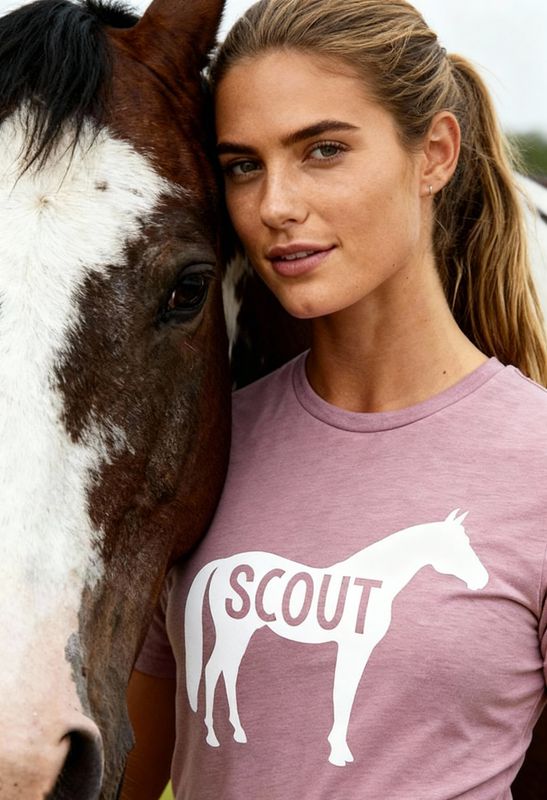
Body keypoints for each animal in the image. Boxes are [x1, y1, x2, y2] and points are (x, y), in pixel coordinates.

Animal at [185, 510, 489, 767]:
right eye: (459, 544)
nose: (483, 579)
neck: (374, 580)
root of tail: (224, 564)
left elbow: (345, 694)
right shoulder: (354, 647)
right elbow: (343, 693)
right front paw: (338, 752)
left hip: (240, 635)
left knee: (228, 671)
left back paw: (237, 732)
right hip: (233, 633)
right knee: (213, 670)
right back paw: (213, 734)